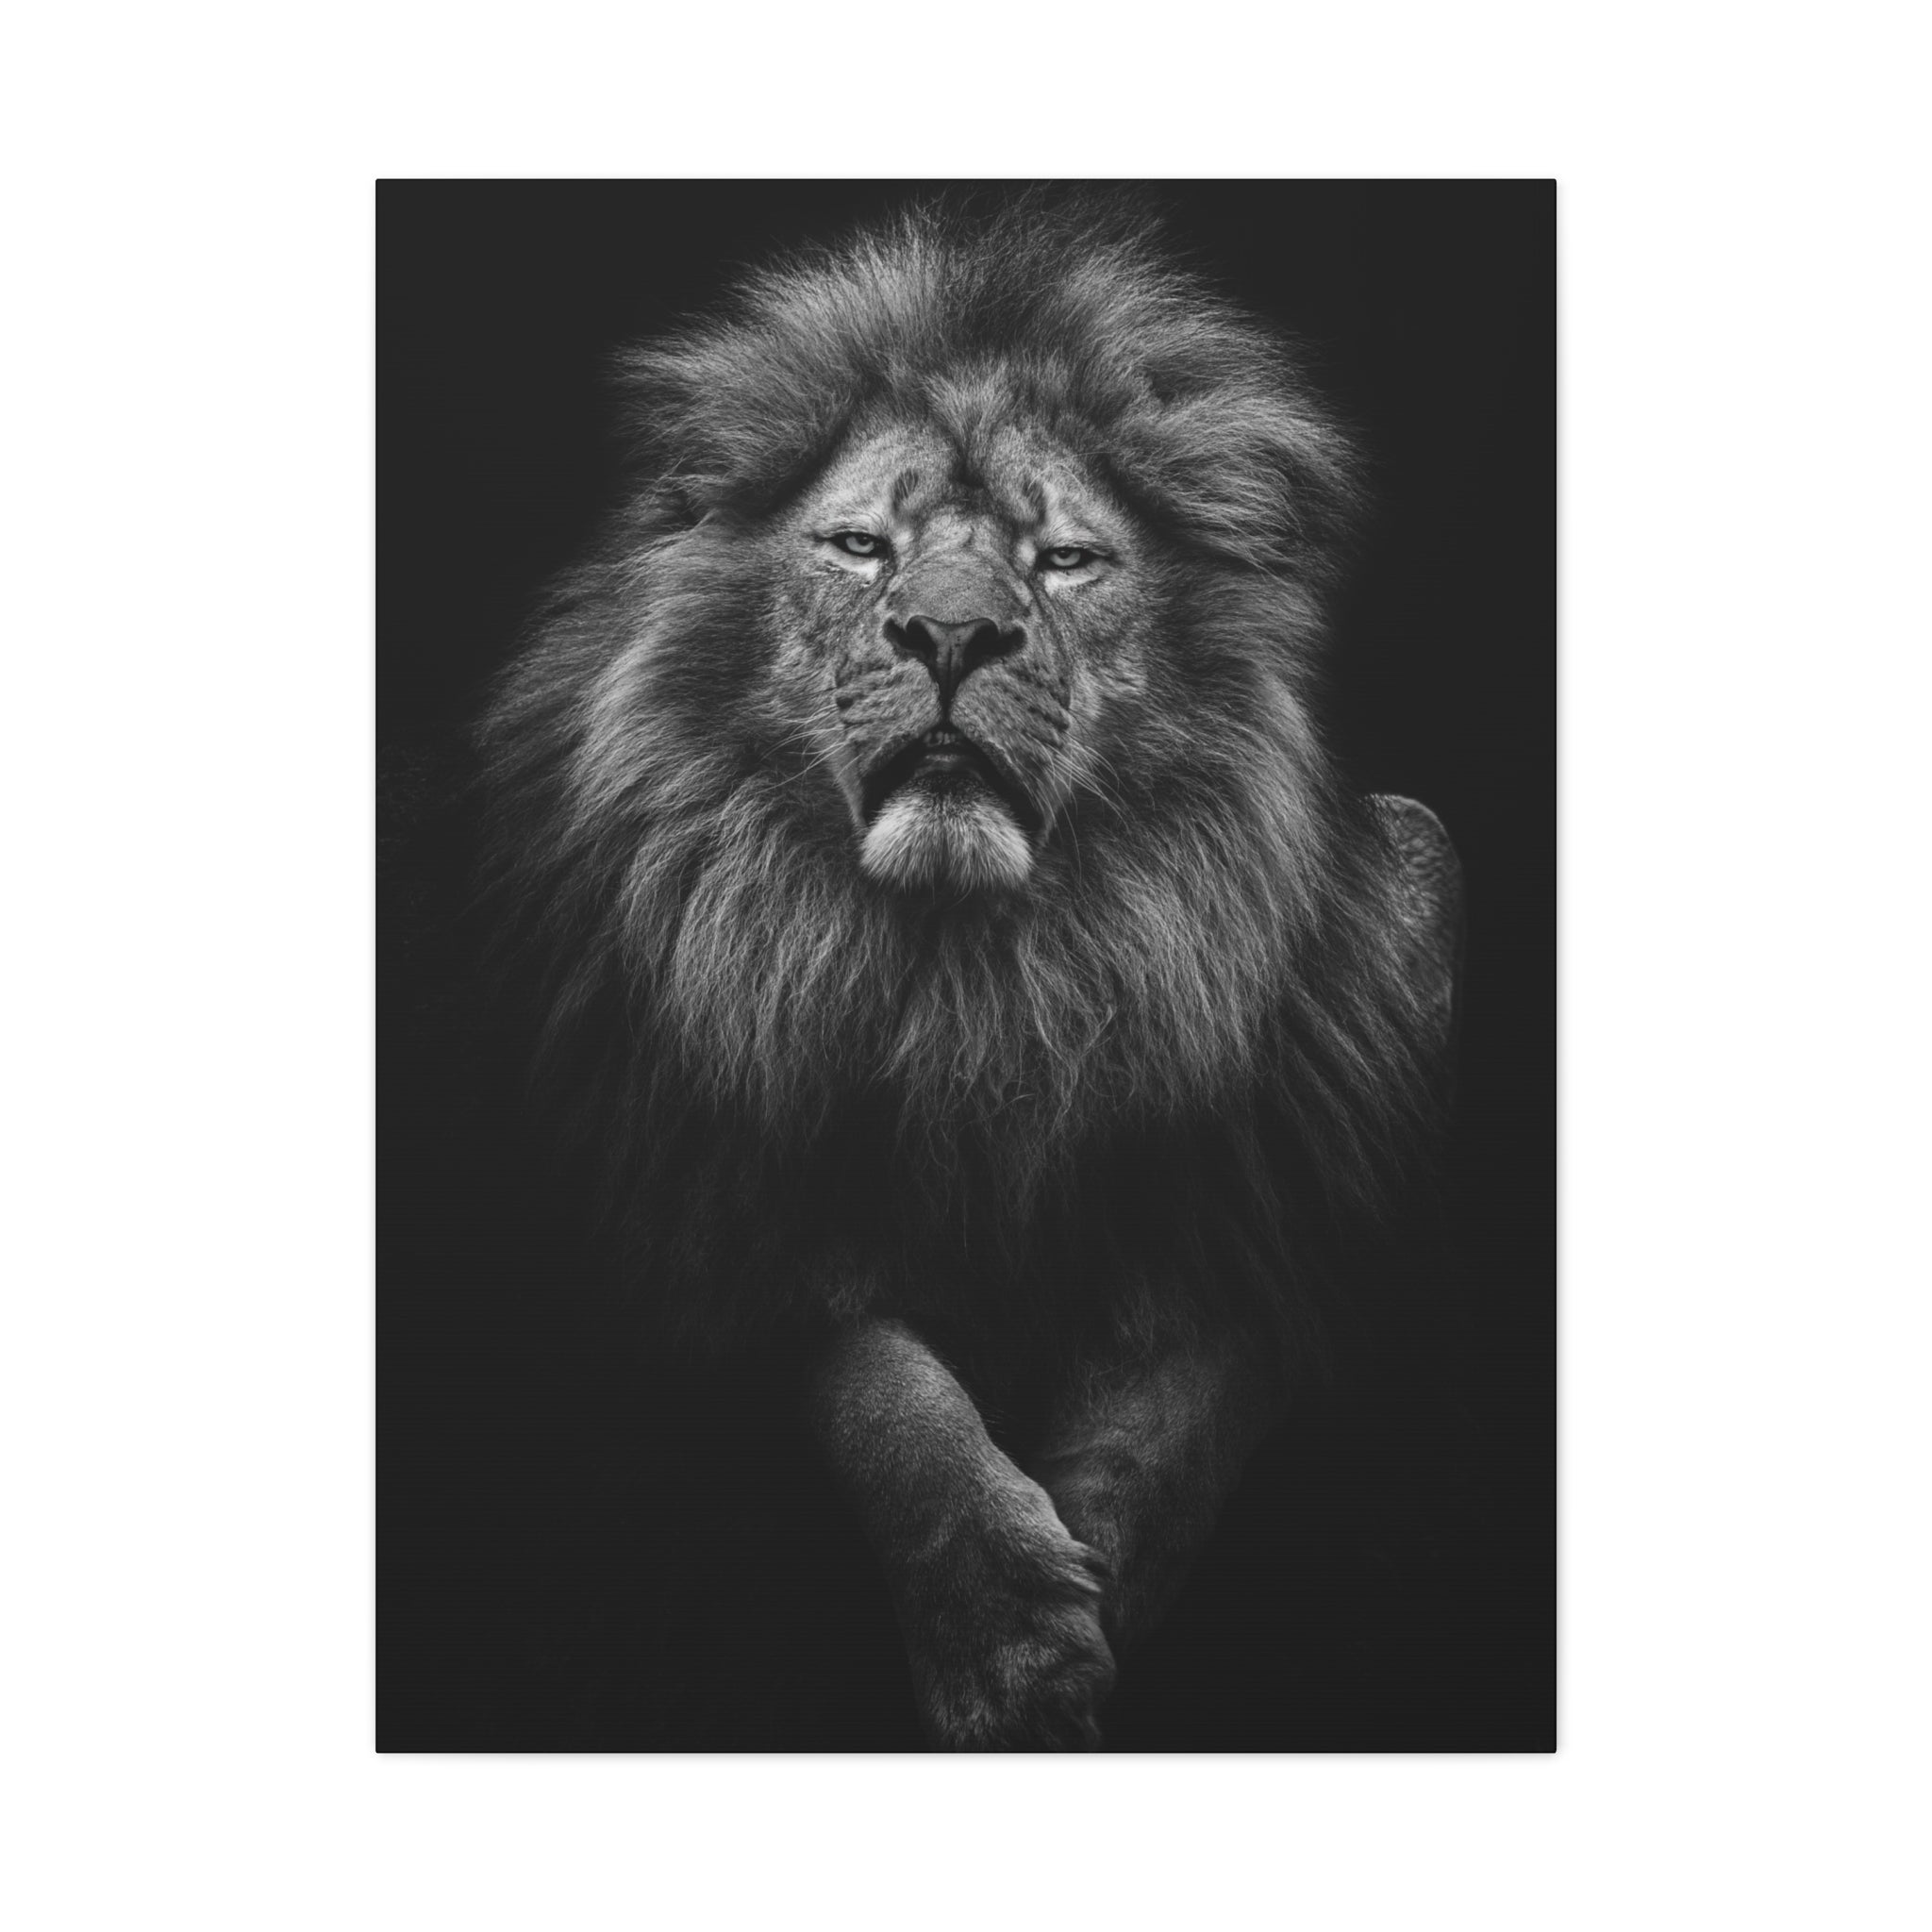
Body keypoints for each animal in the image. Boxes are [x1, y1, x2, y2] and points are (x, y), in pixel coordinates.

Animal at [475, 195, 1461, 1749]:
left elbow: (1196, 1387)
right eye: (860, 546)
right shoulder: (715, 1199)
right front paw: (1007, 1636)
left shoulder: (1280, 1186)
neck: (977, 978)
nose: (950, 633)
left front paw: (1098, 1569)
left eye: (1063, 563)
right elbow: (881, 1388)